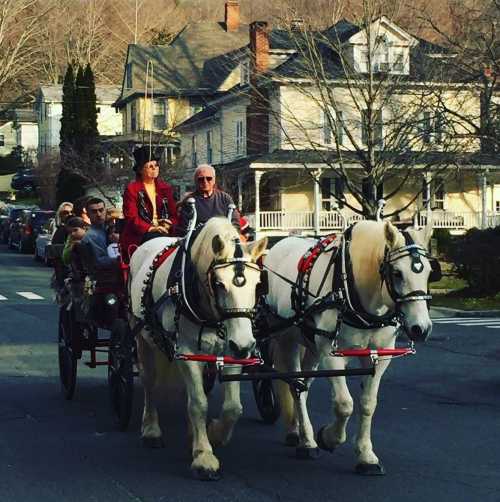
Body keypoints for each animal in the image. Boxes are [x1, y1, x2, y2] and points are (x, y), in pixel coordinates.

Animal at [129, 218, 268, 480]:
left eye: (258, 285)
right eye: (219, 284)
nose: (245, 344)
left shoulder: (231, 352)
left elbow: (232, 407)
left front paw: (213, 434)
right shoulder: (187, 351)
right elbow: (198, 404)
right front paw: (204, 457)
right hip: (142, 338)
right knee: (149, 383)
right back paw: (151, 429)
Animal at [266, 221, 434, 474]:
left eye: (429, 272)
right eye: (397, 273)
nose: (420, 328)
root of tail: (279, 244)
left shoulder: (378, 355)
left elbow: (367, 404)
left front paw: (365, 455)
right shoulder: (331, 354)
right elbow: (344, 404)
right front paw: (329, 437)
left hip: (312, 347)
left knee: (304, 385)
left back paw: (299, 432)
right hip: (288, 341)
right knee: (296, 387)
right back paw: (307, 442)